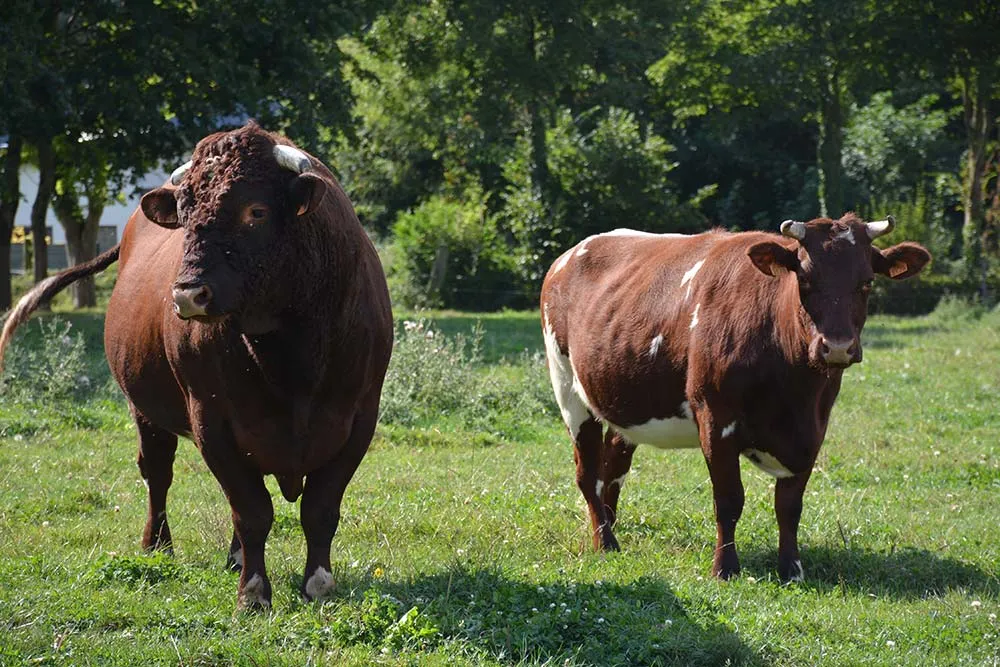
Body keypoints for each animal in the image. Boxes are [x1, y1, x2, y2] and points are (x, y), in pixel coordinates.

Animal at [0, 122, 393, 609]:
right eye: (185, 215)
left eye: (256, 211)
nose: (188, 294)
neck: (291, 356)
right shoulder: (211, 420)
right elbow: (252, 511)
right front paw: (253, 593)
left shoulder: (359, 419)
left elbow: (319, 508)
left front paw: (318, 584)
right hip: (144, 409)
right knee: (158, 473)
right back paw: (158, 546)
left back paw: (234, 557)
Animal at [540, 214, 930, 582]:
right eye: (805, 280)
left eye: (866, 282)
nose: (836, 347)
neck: (793, 392)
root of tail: (568, 256)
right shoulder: (716, 417)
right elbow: (728, 500)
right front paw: (725, 568)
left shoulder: (814, 429)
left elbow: (789, 506)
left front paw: (792, 568)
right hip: (568, 388)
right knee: (588, 474)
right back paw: (605, 542)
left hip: (625, 402)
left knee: (613, 467)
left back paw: (609, 528)